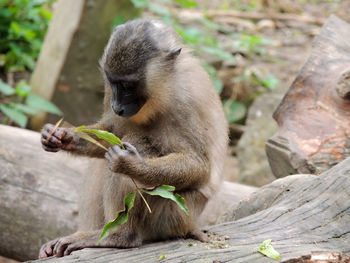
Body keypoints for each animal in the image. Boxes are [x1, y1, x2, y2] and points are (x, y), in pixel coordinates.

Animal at [39, 19, 228, 260]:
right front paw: (61, 136)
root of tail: (190, 224)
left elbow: (199, 165)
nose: (117, 106)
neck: (163, 88)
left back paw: (119, 237)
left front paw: (129, 164)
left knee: (137, 144)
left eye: (128, 86)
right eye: (113, 82)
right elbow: (110, 131)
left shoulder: (186, 102)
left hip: (172, 215)